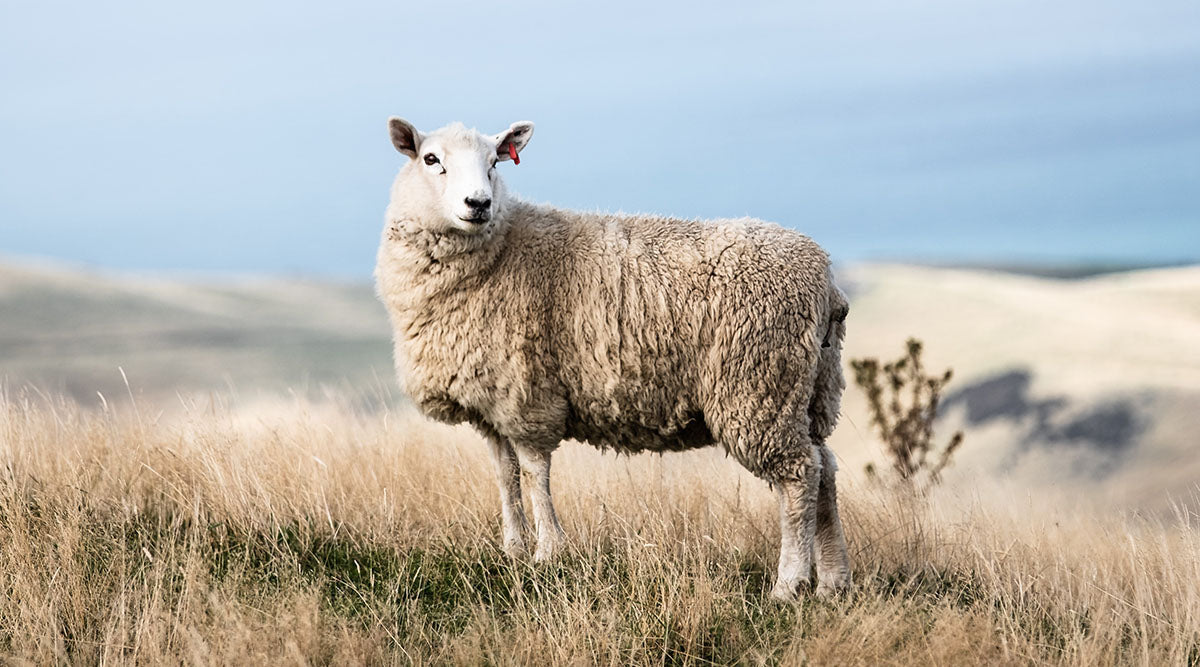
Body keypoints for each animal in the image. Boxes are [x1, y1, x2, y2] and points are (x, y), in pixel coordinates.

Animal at [374, 115, 854, 599]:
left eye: (494, 162)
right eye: (430, 159)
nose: (479, 203)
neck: (502, 249)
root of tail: (826, 280)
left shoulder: (529, 396)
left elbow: (534, 473)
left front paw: (548, 552)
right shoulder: (492, 403)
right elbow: (505, 476)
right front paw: (512, 549)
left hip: (759, 386)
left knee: (798, 476)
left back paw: (789, 584)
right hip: (808, 390)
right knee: (825, 469)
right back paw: (833, 581)